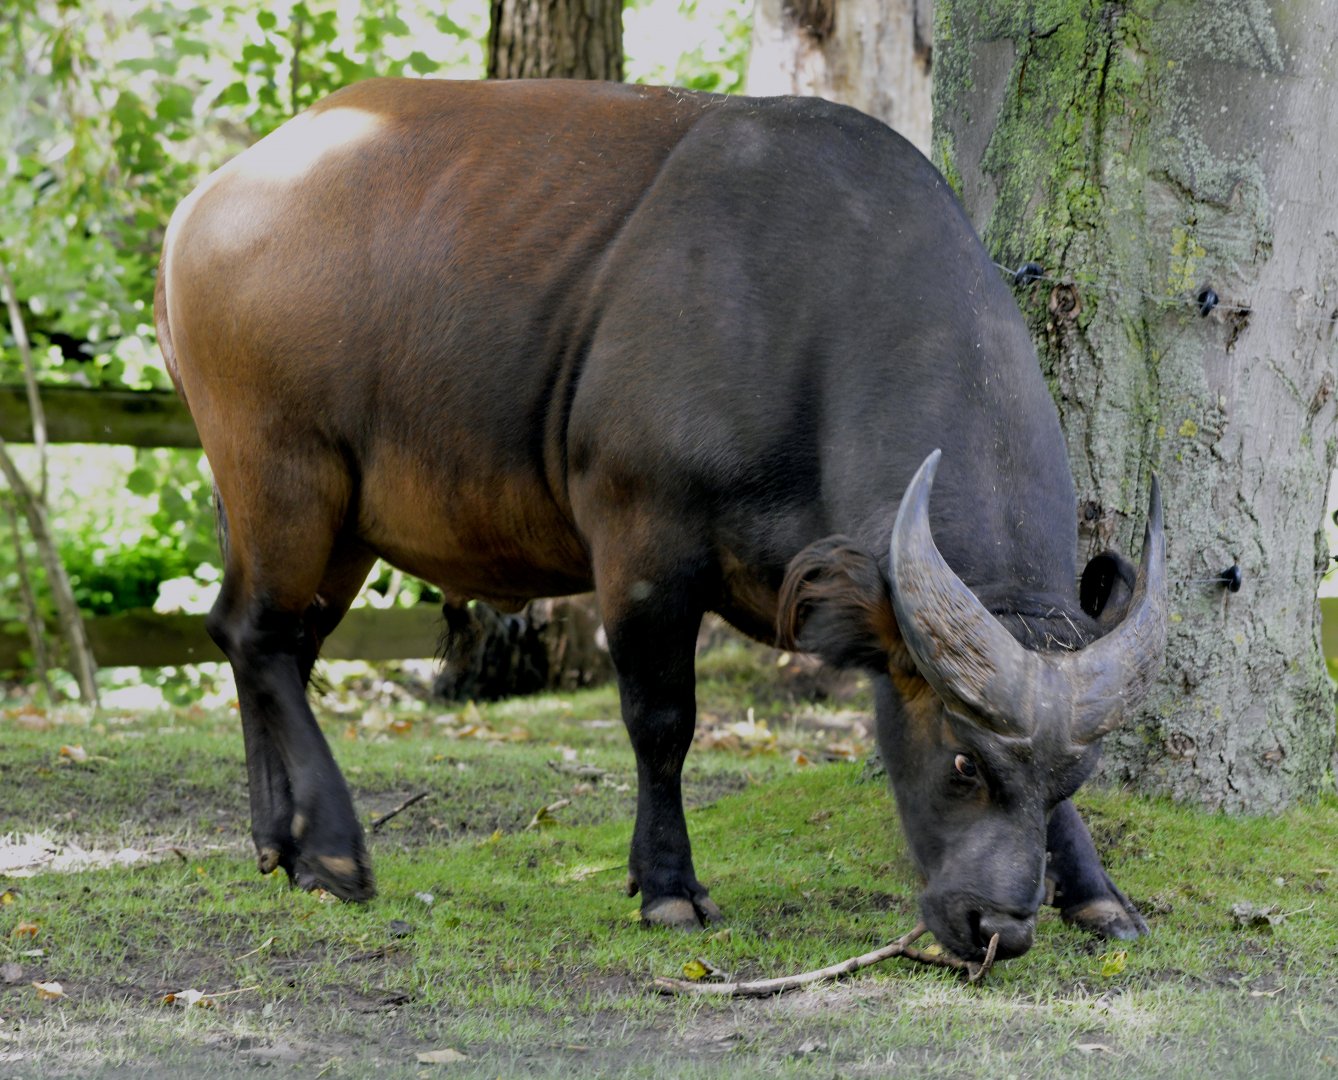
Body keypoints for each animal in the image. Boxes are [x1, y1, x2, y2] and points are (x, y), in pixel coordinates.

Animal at [154, 78, 1166, 963]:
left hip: (340, 524)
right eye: (961, 764)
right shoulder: (640, 543)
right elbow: (662, 719)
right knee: (260, 633)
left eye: (1070, 781)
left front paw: (1097, 894)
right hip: (283, 473)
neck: (805, 307)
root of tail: (204, 203)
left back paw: (279, 843)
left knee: (267, 640)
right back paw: (330, 850)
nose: (1000, 926)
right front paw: (669, 886)